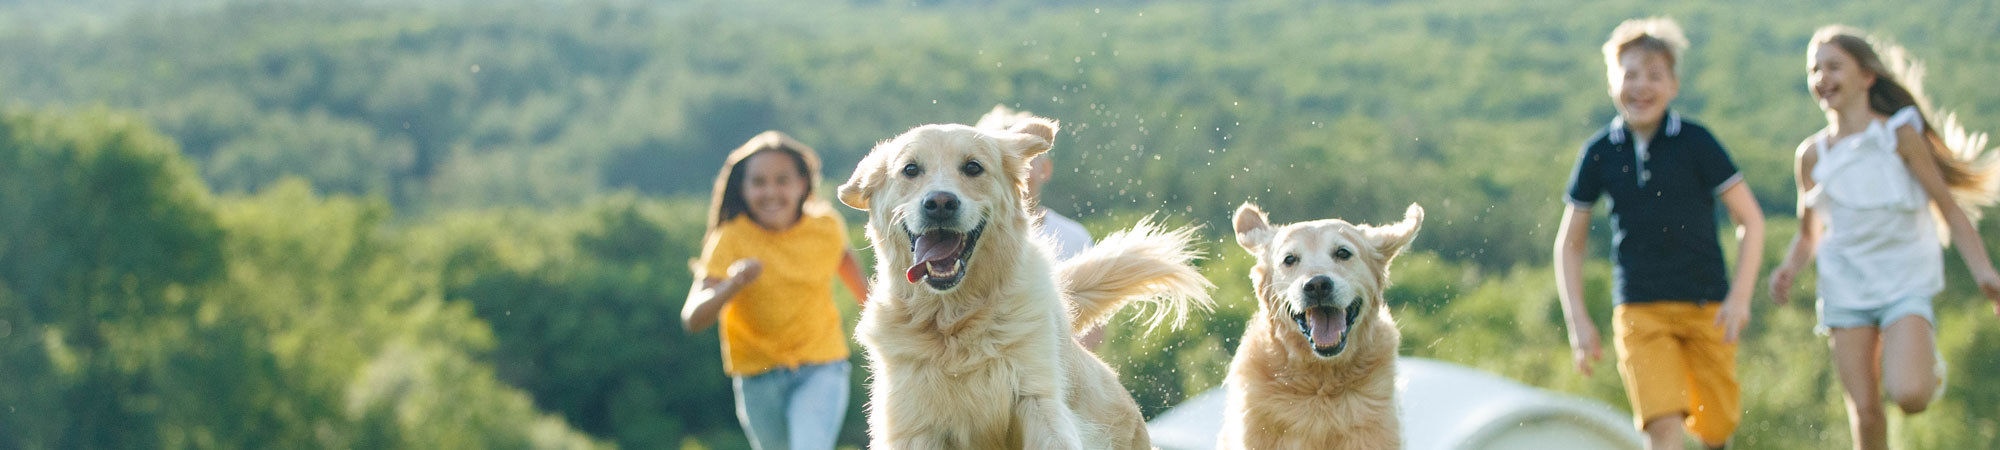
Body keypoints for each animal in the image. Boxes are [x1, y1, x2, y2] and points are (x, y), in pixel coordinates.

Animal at [836, 114, 1208, 448]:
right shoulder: (911, 423)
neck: (954, 320)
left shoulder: (1036, 399)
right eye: (910, 170)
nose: (940, 202)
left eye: (973, 167)